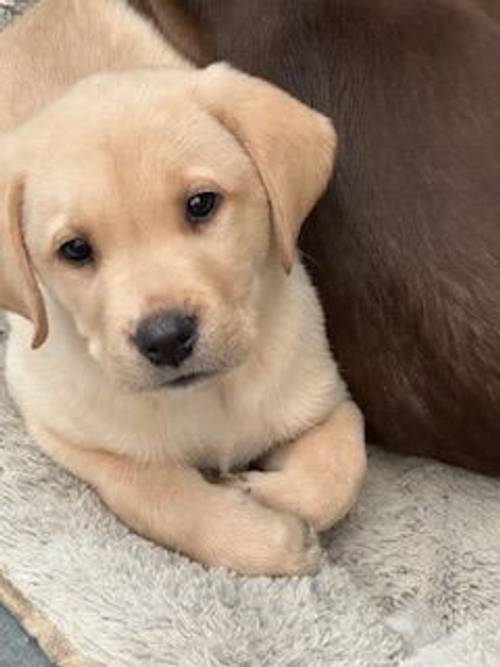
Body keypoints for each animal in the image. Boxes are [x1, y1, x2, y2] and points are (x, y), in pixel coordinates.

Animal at [0, 0, 368, 576]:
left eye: (201, 204)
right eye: (75, 249)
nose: (167, 338)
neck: (211, 397)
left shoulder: (327, 399)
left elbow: (340, 471)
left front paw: (258, 492)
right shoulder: (57, 422)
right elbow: (156, 493)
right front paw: (266, 537)